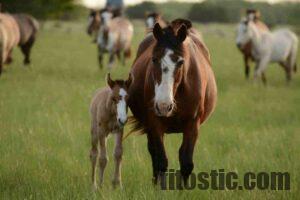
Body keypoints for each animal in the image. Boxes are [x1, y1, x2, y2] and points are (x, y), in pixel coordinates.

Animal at [127, 19, 217, 185]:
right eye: (154, 59)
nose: (164, 106)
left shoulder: (192, 124)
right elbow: (161, 161)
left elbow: (186, 162)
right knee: (153, 153)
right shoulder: (155, 123)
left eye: (181, 62)